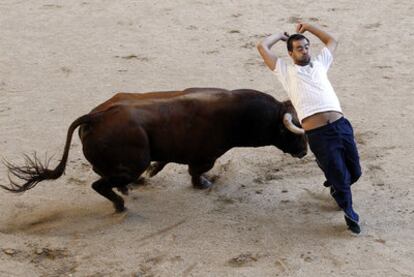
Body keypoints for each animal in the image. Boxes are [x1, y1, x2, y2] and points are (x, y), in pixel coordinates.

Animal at [0, 87, 308, 210]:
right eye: (291, 132)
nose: (305, 152)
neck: (236, 113)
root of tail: (95, 116)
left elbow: (166, 163)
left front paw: (155, 171)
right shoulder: (205, 156)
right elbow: (196, 172)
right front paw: (204, 184)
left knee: (105, 175)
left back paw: (126, 189)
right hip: (132, 161)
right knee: (100, 183)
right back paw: (120, 203)